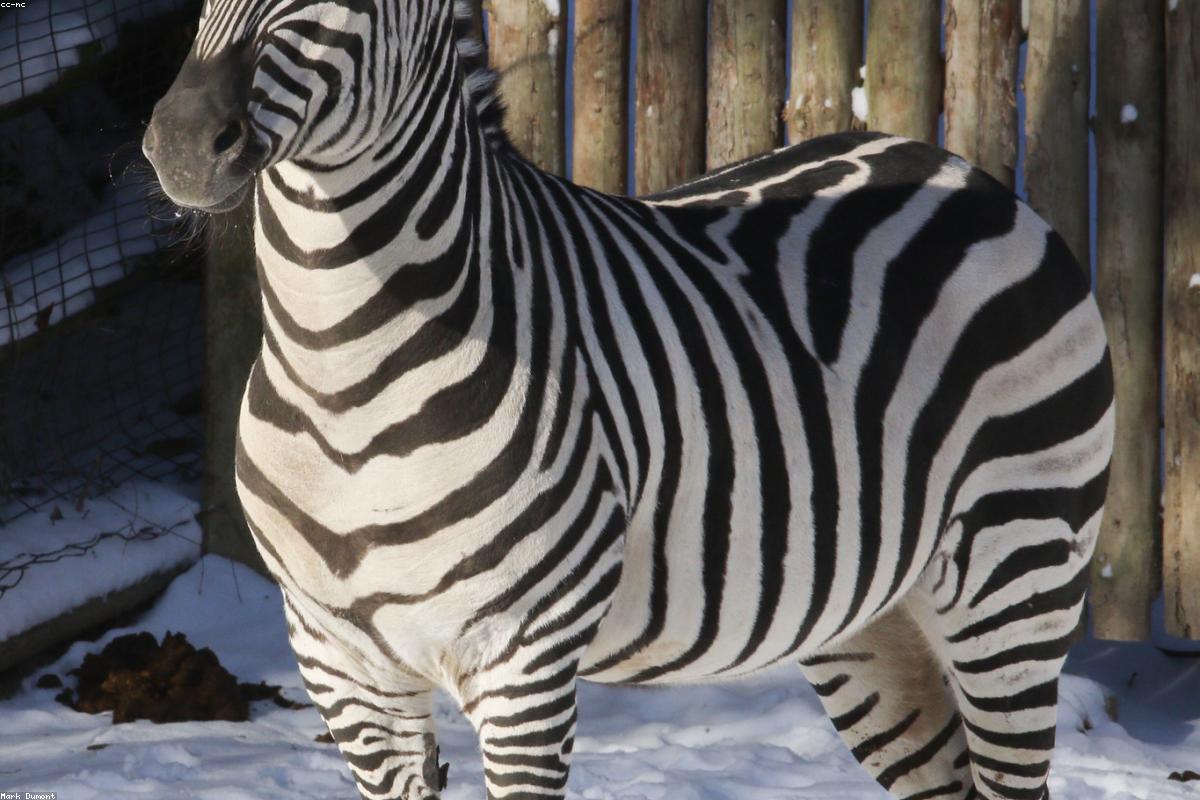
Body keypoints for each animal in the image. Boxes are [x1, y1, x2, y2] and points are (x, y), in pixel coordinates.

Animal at [141, 1, 1114, 798]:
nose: (183, 143)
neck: (340, 373)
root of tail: (953, 164)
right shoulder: (341, 669)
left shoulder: (524, 665)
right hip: (873, 620)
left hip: (1015, 577)